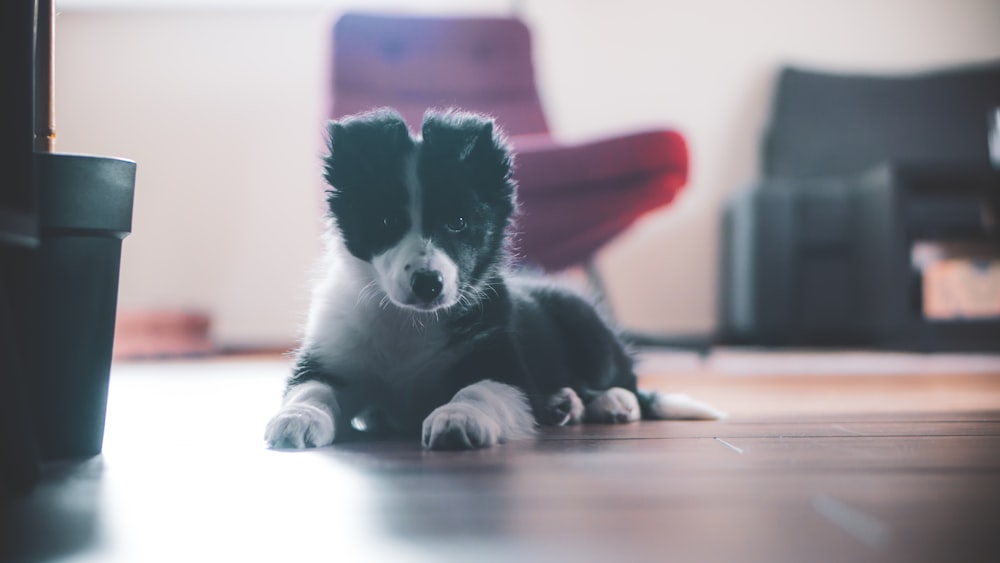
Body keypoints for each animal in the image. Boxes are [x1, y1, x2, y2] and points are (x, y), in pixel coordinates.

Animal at [262, 110, 724, 452]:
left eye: (459, 221)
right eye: (386, 221)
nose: (428, 284)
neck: (411, 324)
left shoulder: (501, 362)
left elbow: (477, 391)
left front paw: (457, 418)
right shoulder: (330, 357)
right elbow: (311, 390)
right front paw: (295, 418)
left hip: (586, 326)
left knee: (627, 380)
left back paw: (611, 402)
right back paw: (562, 404)